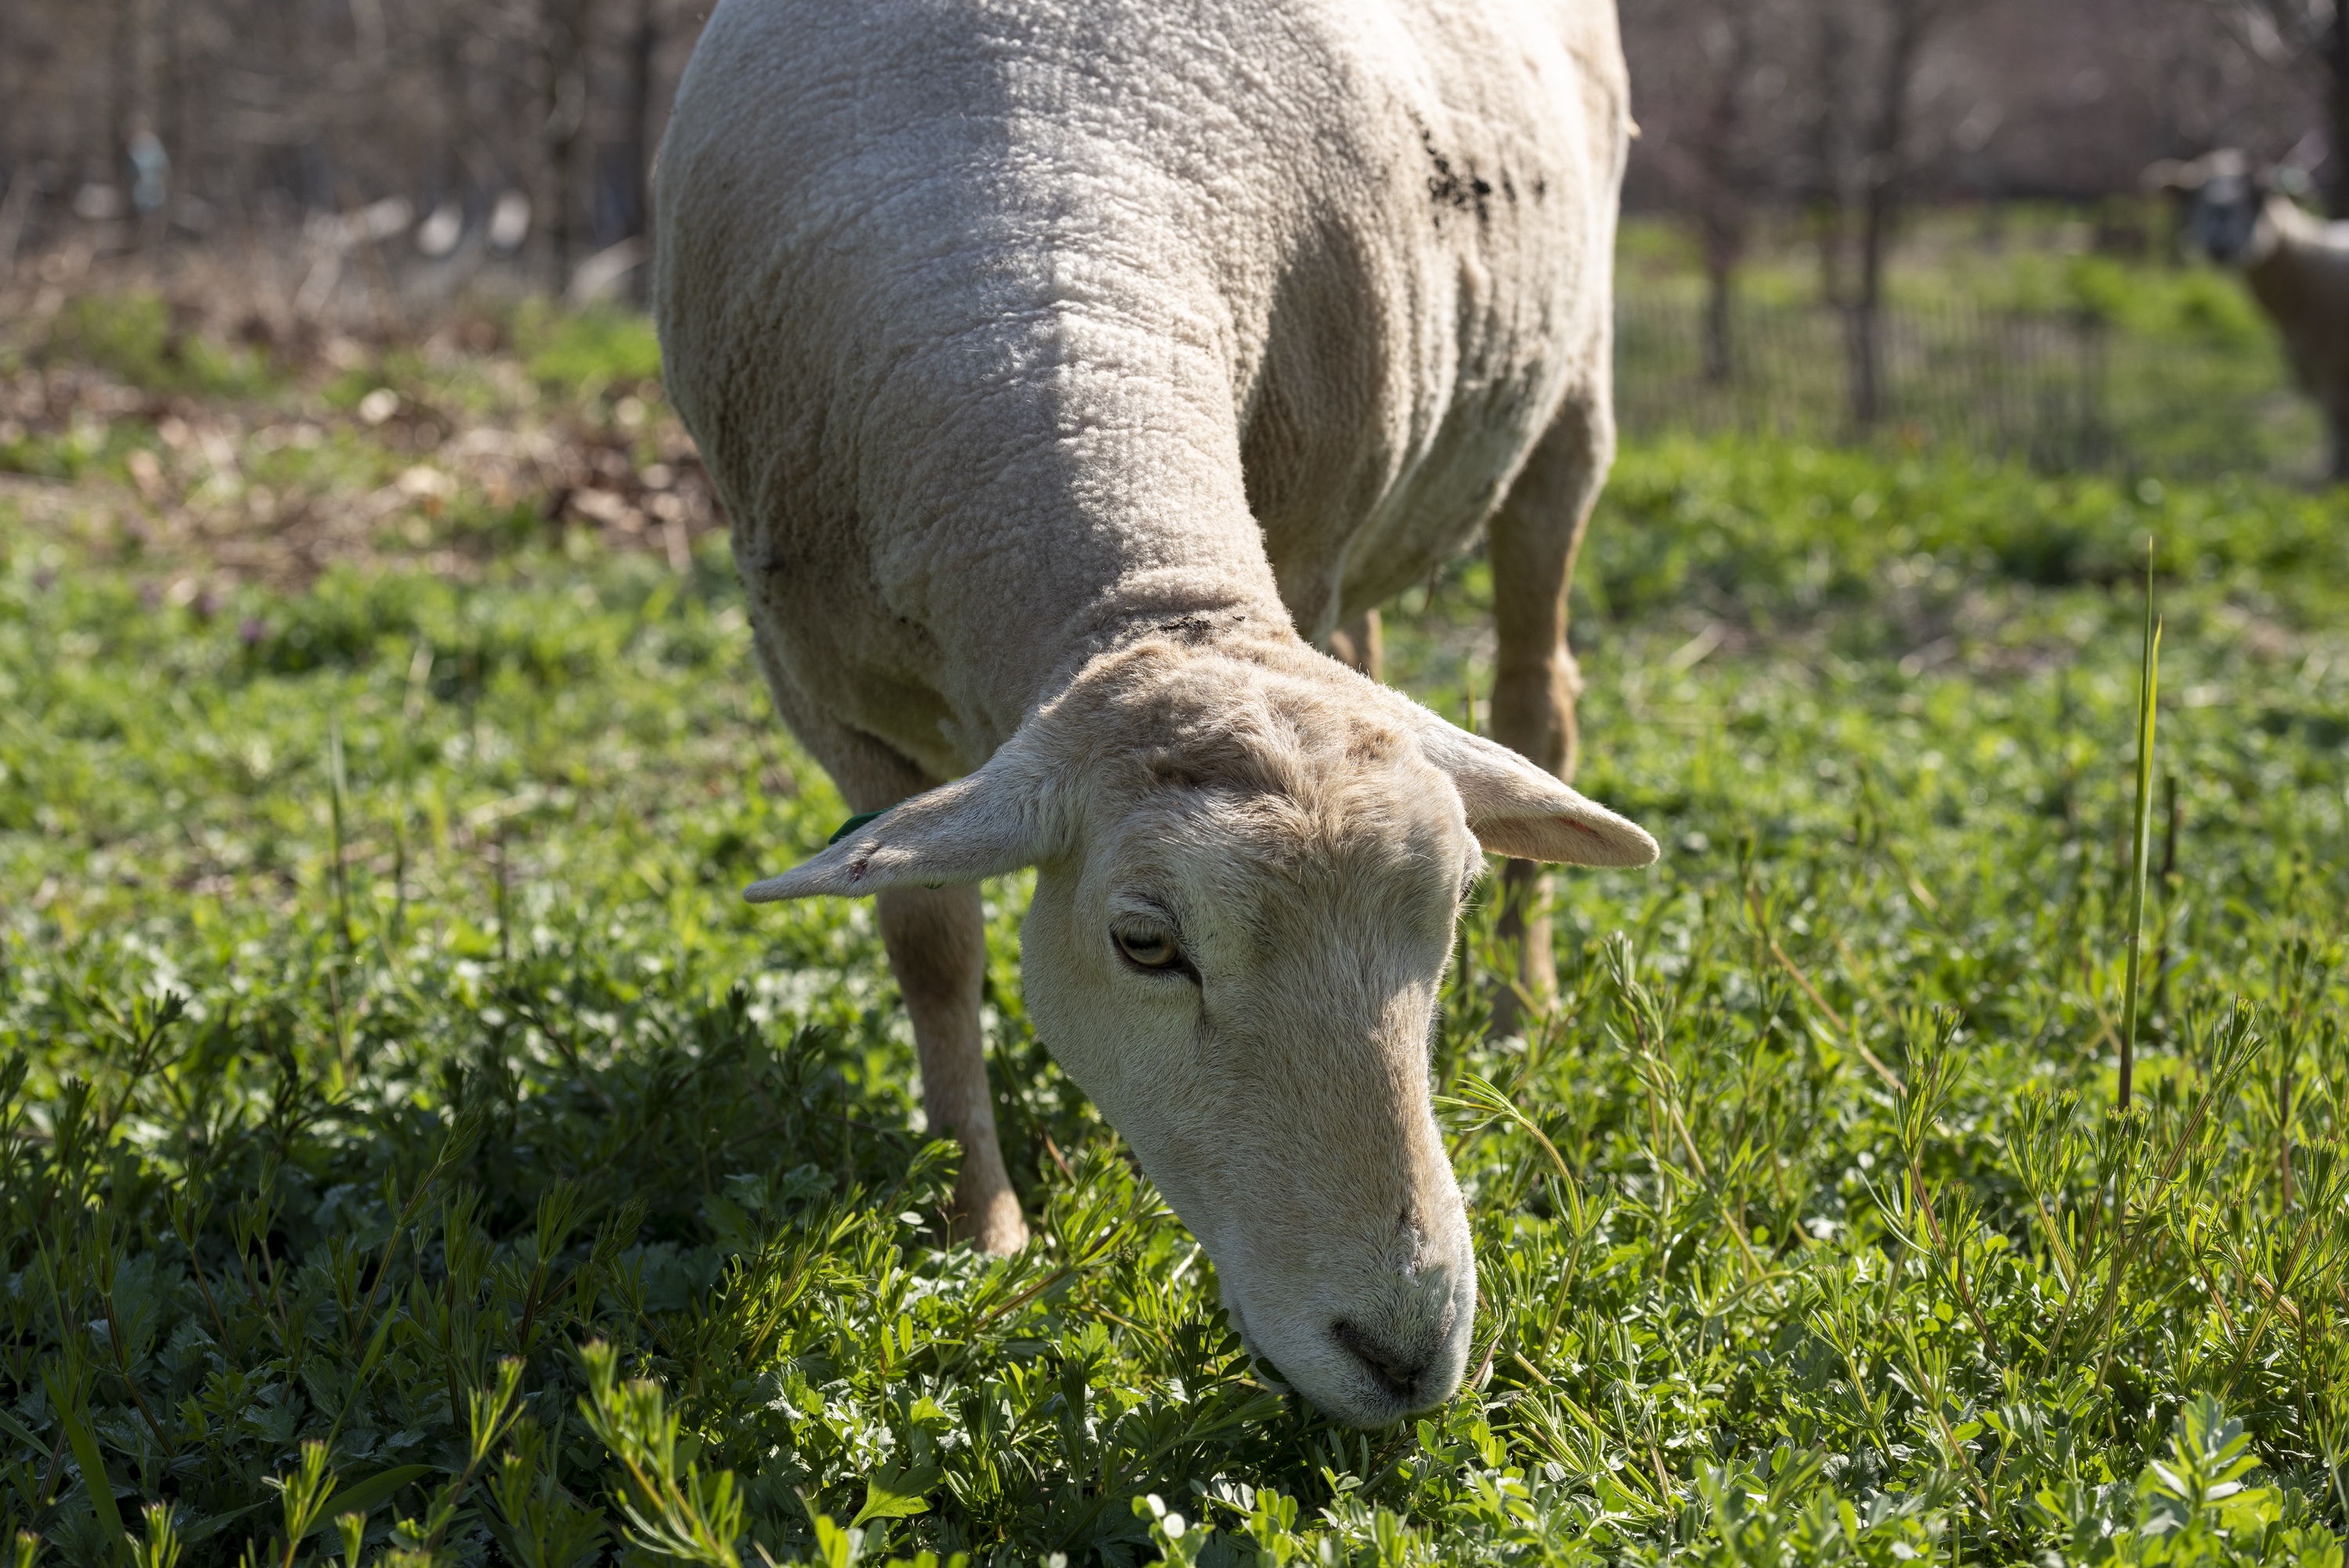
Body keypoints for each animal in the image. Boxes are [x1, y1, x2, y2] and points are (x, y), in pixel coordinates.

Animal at [662, 0, 1654, 1427]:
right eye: (1145, 942)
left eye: (1452, 903)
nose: (1405, 1352)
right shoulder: (822, 688)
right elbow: (930, 944)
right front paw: (983, 1228)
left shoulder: (1301, 550)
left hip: (1565, 395)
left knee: (1538, 696)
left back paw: (1527, 1008)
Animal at [2152, 156, 2349, 483]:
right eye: (2196, 196)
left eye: (2258, 196)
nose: (2219, 245)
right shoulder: (2312, 364)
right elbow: (2331, 419)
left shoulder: (2332, 365)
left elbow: (2336, 419)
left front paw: (2336, 472)